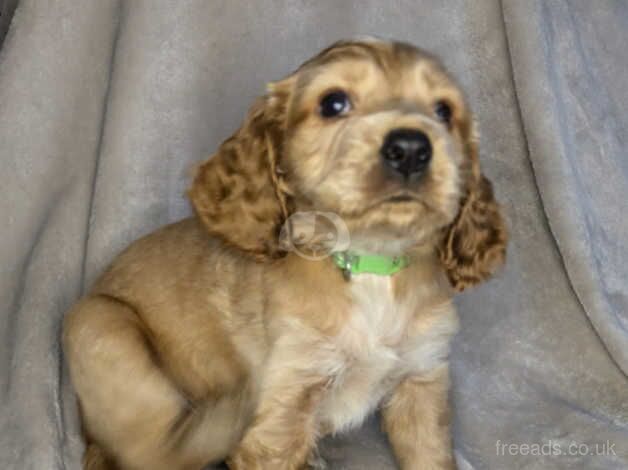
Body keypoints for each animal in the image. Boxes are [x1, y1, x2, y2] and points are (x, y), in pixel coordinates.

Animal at [62, 37, 506, 470]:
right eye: (333, 103)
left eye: (444, 111)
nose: (411, 148)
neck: (369, 263)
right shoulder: (282, 408)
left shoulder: (421, 381)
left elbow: (431, 457)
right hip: (99, 323)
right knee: (153, 451)